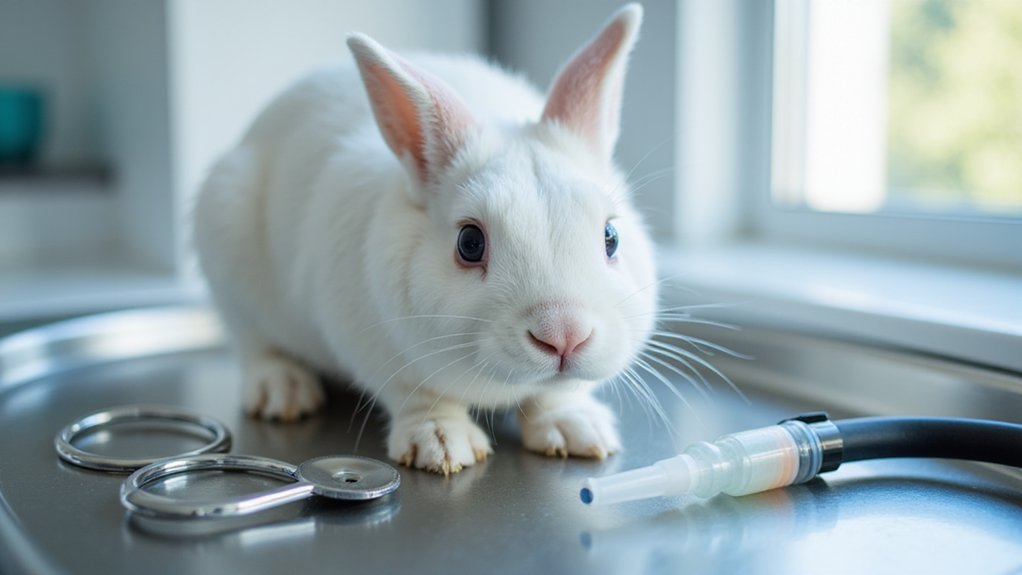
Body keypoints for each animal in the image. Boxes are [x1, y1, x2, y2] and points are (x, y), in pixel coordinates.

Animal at [193, 3, 658, 475]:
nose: (565, 336)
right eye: (470, 243)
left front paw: (576, 430)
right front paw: (441, 444)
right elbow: (422, 396)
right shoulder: (377, 351)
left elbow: (554, 393)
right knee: (253, 342)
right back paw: (283, 391)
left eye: (611, 236)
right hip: (226, 243)